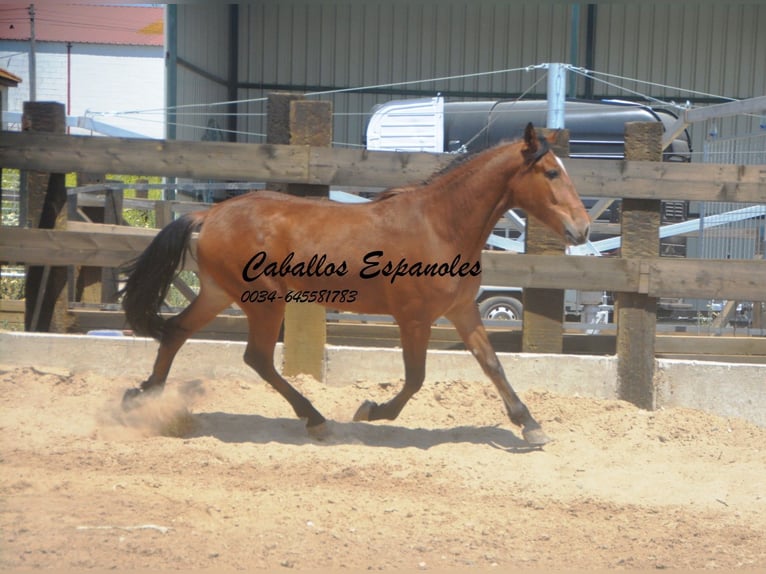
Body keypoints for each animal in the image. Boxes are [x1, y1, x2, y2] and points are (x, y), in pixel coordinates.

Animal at [120, 124, 592, 448]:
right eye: (551, 172)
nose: (583, 228)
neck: (441, 225)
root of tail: (210, 214)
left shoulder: (462, 310)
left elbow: (492, 364)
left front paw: (530, 426)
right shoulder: (414, 318)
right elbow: (415, 378)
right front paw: (370, 410)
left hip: (220, 293)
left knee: (177, 332)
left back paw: (141, 398)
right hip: (265, 301)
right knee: (256, 357)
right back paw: (315, 419)